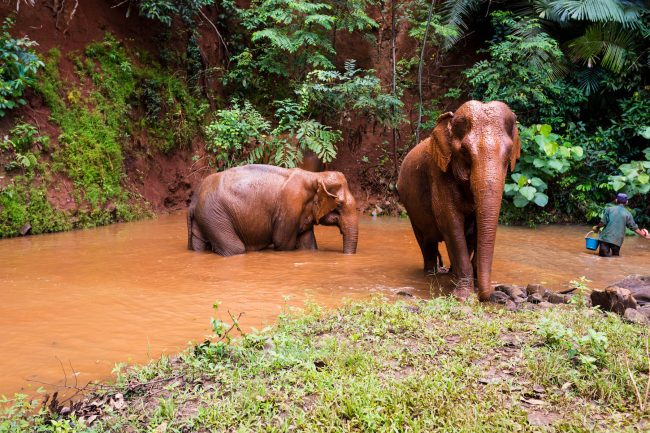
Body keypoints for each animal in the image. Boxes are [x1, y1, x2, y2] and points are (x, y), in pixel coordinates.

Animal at [186, 164, 360, 255]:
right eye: (339, 205)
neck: (315, 175)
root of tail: (193, 201)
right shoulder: (290, 206)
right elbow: (283, 242)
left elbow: (308, 243)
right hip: (215, 215)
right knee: (235, 249)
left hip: (205, 217)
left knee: (199, 245)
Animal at [394, 100, 520, 300]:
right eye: (464, 151)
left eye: (509, 153)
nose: (488, 295)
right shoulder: (439, 173)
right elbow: (451, 223)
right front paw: (463, 296)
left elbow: (475, 229)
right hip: (410, 206)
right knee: (426, 243)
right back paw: (432, 273)